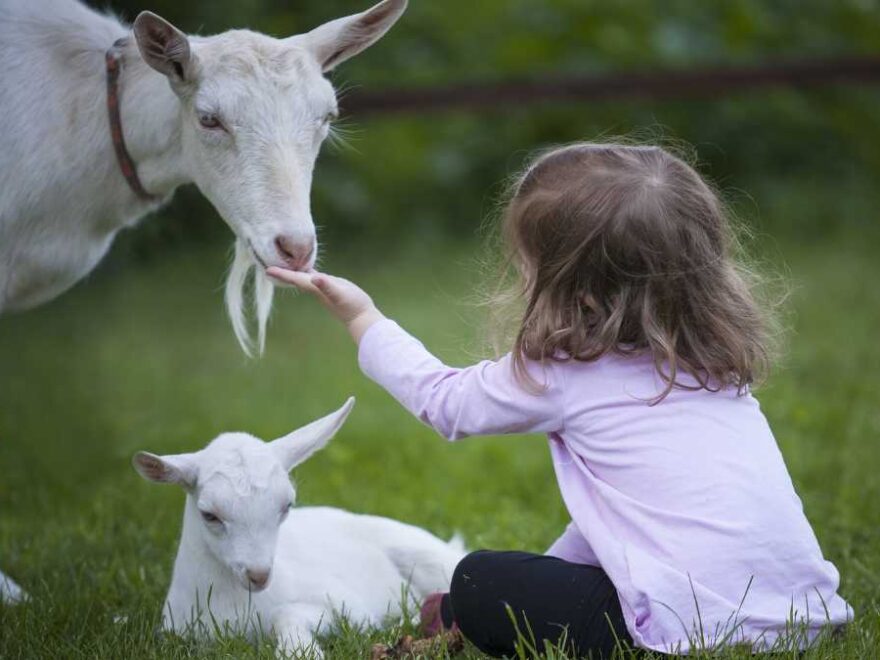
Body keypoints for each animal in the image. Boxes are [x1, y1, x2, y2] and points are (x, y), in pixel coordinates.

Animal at [134, 398, 464, 656]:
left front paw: (300, 651)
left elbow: (289, 612)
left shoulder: (352, 607)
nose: (259, 575)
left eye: (286, 506)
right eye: (209, 515)